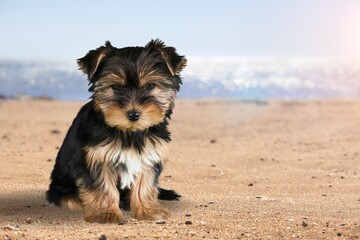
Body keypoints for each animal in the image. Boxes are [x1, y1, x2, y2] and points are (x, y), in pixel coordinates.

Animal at [46, 38, 187, 224]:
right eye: (116, 87)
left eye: (150, 86)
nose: (133, 114)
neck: (130, 132)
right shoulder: (97, 158)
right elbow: (103, 187)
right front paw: (105, 213)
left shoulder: (149, 154)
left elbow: (145, 184)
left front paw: (147, 210)